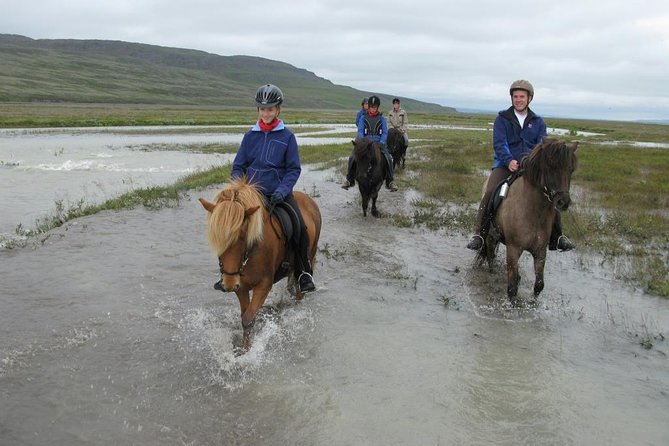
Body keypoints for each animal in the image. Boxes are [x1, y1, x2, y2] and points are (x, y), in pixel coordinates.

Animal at [198, 178, 320, 352]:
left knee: (300, 289)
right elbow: (244, 317)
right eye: (217, 239)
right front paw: (244, 348)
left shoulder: (263, 286)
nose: (229, 284)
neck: (251, 254)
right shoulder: (241, 287)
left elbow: (249, 318)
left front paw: (247, 352)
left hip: (310, 252)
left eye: (243, 235)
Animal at [474, 139, 580, 304]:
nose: (563, 203)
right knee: (490, 255)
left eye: (570, 169)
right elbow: (512, 288)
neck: (533, 211)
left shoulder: (540, 251)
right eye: (551, 167)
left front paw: (533, 303)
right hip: (491, 233)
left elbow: (539, 285)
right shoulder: (513, 249)